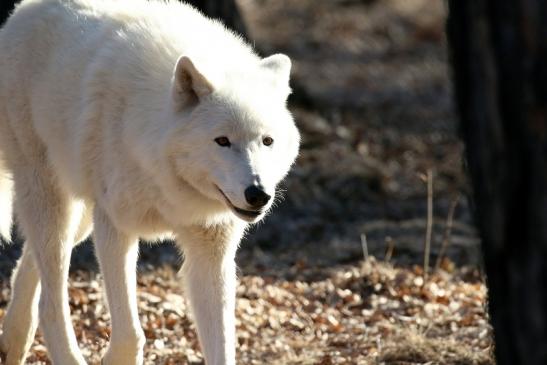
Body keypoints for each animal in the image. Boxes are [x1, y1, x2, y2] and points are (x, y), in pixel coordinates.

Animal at [0, 0, 300, 362]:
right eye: (222, 141)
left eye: (267, 141)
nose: (258, 194)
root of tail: (23, 9)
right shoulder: (114, 227)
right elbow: (131, 335)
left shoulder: (211, 253)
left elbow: (223, 347)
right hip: (54, 200)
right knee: (51, 299)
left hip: (80, 216)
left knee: (32, 262)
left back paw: (13, 340)